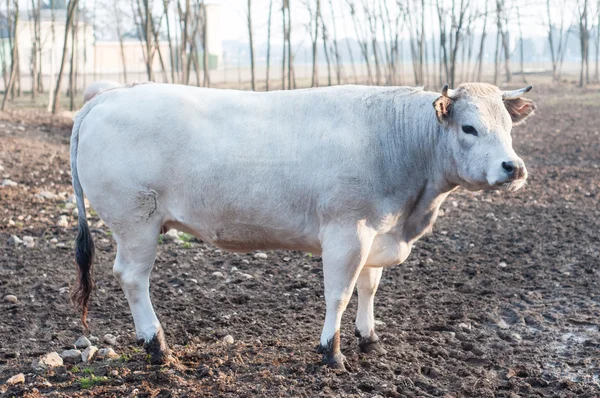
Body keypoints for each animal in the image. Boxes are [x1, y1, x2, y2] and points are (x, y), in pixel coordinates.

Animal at [69, 81, 536, 370]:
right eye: (469, 127)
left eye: (508, 127)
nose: (513, 167)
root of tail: (109, 97)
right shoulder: (348, 232)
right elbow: (339, 295)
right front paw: (332, 352)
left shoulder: (377, 234)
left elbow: (369, 288)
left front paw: (369, 338)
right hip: (136, 222)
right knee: (133, 278)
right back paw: (157, 346)